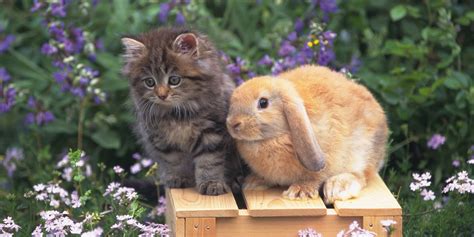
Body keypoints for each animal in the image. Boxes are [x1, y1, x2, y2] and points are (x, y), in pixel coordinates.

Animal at [121, 27, 244, 194]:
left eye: (174, 80)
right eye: (150, 82)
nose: (162, 95)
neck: (178, 115)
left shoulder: (212, 132)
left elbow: (209, 161)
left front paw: (211, 183)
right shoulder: (162, 139)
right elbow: (174, 161)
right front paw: (179, 178)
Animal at [227, 65, 388, 204]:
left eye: (263, 102)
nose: (233, 123)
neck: (275, 138)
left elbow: (316, 177)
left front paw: (299, 191)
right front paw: (254, 182)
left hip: (362, 153)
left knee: (360, 175)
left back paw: (337, 187)